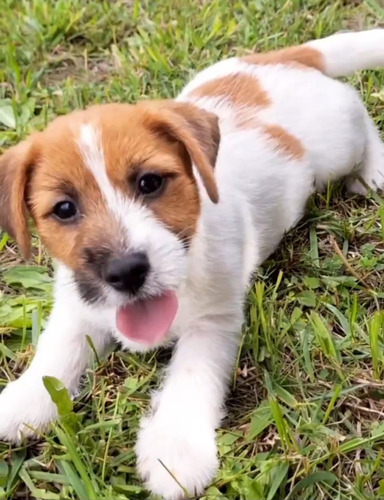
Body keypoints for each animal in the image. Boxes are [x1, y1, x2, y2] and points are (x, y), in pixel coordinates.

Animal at [0, 29, 384, 500]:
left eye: (150, 182)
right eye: (65, 209)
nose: (126, 272)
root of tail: (274, 61)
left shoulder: (212, 325)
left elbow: (190, 379)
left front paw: (175, 450)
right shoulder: (78, 304)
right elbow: (56, 351)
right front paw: (27, 399)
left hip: (339, 143)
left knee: (361, 113)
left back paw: (373, 171)